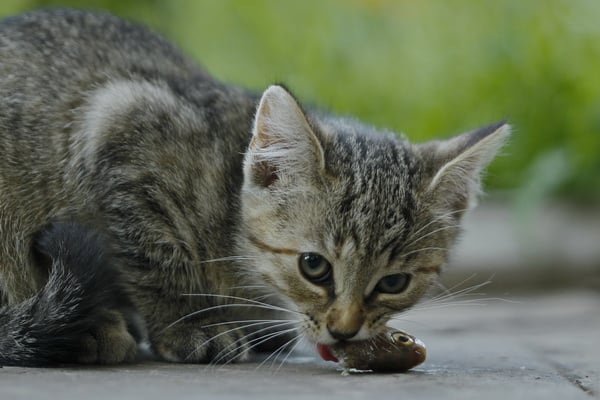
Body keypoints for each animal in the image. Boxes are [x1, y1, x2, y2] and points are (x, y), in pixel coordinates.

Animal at [0, 9, 510, 366]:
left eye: (394, 283)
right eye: (314, 267)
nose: (345, 331)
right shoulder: (122, 122)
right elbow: (155, 253)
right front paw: (189, 323)